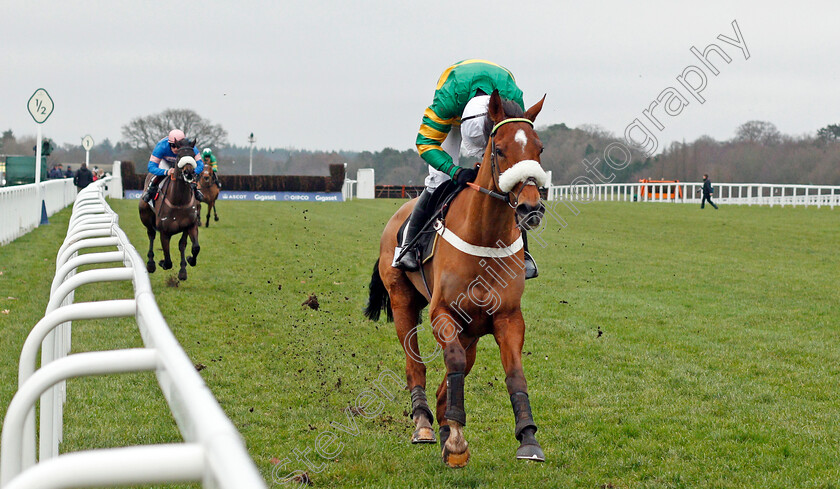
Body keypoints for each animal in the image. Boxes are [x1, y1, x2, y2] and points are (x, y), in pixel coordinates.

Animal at [140, 139, 203, 280]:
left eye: (192, 155)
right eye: (179, 156)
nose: (189, 173)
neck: (179, 201)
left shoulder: (190, 225)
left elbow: (193, 246)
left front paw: (188, 263)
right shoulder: (164, 232)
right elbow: (168, 260)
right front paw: (162, 262)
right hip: (145, 217)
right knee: (151, 234)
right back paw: (151, 264)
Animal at [364, 89, 548, 468]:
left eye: (539, 149)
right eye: (500, 149)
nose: (530, 208)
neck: (484, 237)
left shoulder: (507, 317)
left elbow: (512, 373)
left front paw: (528, 437)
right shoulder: (442, 312)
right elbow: (452, 363)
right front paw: (457, 440)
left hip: (471, 332)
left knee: (450, 375)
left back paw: (445, 423)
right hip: (404, 304)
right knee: (415, 366)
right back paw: (424, 424)